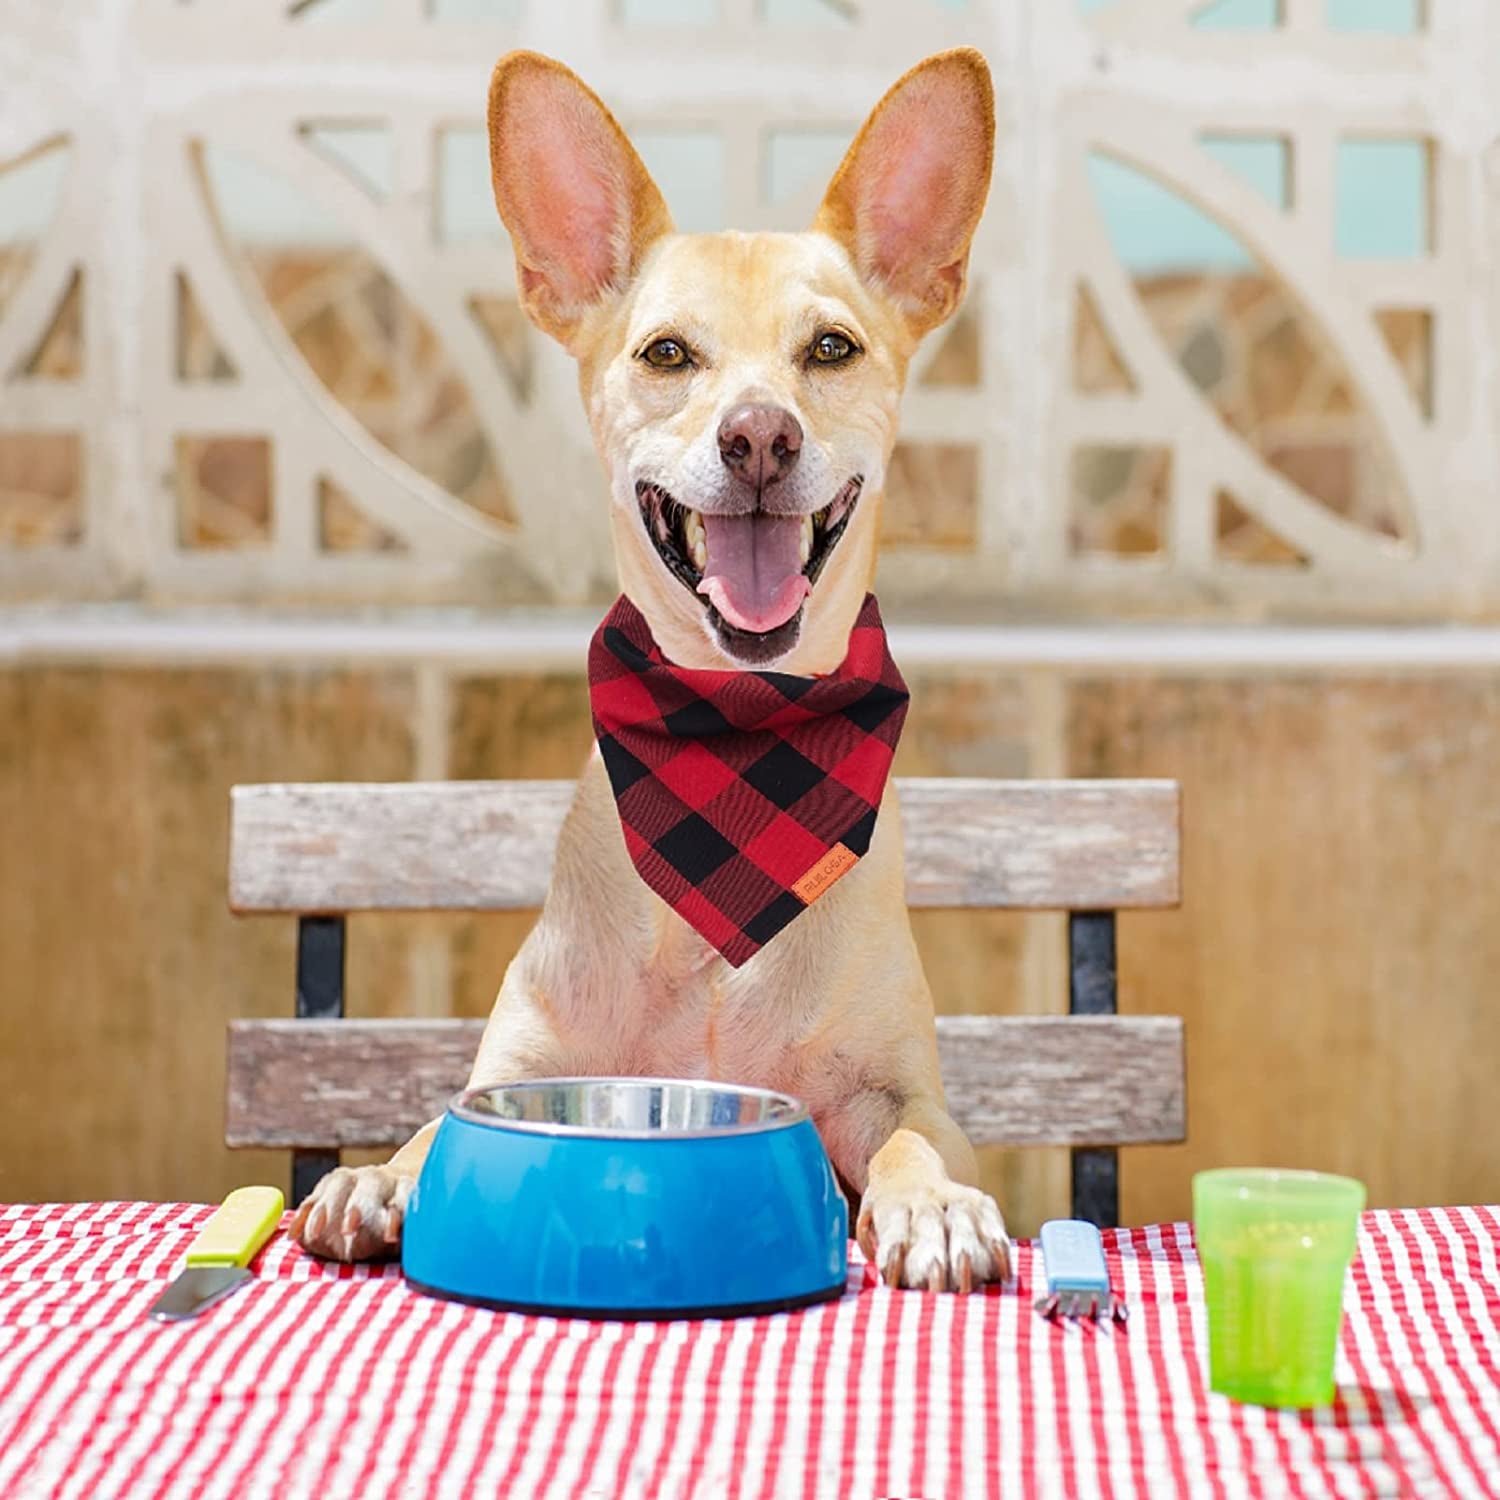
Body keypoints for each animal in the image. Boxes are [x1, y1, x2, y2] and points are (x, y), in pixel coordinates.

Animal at [289, 43, 1008, 1290]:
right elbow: (435, 1125)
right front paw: (377, 1175)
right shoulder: (517, 1070)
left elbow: (917, 1137)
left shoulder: (897, 1089)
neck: (732, 736)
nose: (760, 435)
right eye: (668, 353)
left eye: (831, 347)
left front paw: (934, 1205)